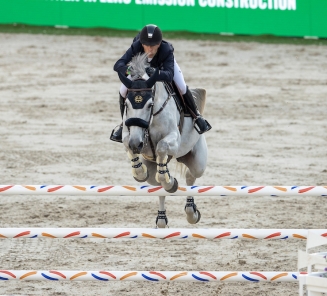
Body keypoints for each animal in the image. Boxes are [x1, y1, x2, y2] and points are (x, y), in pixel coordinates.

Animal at [119, 53, 209, 229]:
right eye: (126, 103)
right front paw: (140, 172)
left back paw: (191, 212)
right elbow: (127, 142)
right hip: (153, 166)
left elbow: (161, 146)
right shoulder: (131, 134)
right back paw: (161, 219)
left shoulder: (173, 139)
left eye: (149, 104)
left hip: (197, 161)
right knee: (157, 184)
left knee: (190, 176)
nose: (136, 144)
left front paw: (171, 182)